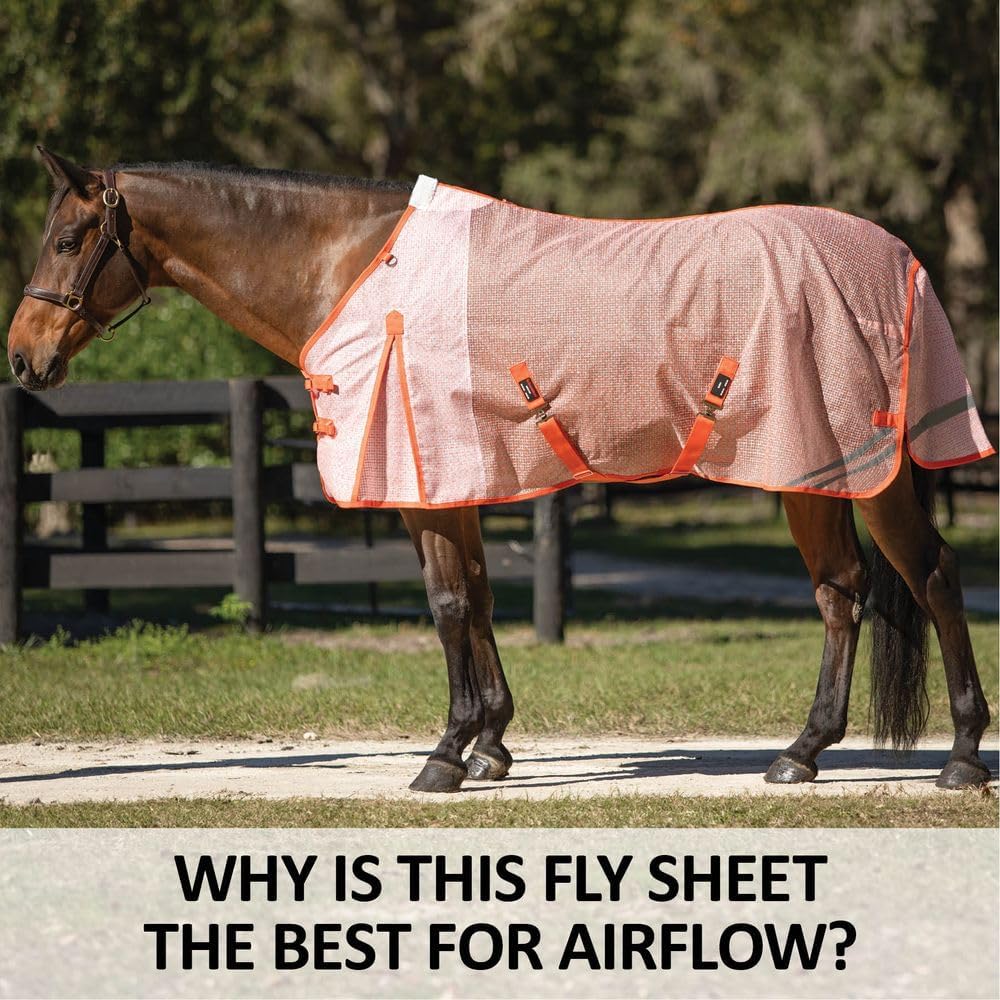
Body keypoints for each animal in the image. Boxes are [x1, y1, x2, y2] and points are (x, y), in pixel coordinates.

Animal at [5, 147, 993, 793]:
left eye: (67, 240)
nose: (22, 359)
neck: (359, 268)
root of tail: (899, 258)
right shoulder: (454, 485)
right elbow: (477, 601)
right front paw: (491, 744)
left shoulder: (424, 484)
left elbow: (447, 606)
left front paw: (445, 756)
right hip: (815, 476)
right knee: (842, 591)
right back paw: (802, 754)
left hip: (854, 471)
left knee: (930, 577)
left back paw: (958, 758)